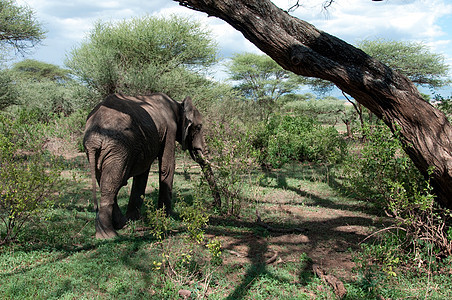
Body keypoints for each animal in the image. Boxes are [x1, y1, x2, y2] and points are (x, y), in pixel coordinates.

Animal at [84, 92, 221, 238]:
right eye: (199, 127)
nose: (214, 205)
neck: (178, 104)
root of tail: (93, 140)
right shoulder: (170, 128)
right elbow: (167, 166)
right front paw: (165, 216)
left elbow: (142, 173)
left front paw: (135, 219)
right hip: (117, 147)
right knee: (111, 184)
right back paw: (108, 235)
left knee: (105, 181)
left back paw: (121, 225)